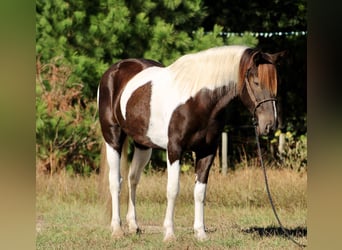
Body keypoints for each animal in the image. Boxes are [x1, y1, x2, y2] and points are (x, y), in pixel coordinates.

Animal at [97, 46, 284, 241]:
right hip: (113, 138)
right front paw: (169, 234)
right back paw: (117, 229)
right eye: (256, 82)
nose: (270, 125)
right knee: (115, 181)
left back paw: (133, 225)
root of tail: (115, 69)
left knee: (133, 178)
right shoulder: (174, 150)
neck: (198, 100)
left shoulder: (207, 151)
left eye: (275, 84)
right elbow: (172, 190)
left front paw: (200, 233)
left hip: (143, 144)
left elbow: (200, 192)